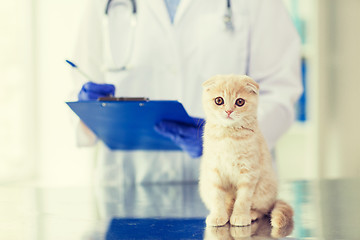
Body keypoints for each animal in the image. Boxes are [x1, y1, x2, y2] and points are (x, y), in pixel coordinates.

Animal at [198, 75, 294, 231]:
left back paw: (251, 213)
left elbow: (242, 199)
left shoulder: (248, 172)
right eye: (219, 100)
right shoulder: (214, 171)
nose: (228, 111)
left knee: (263, 209)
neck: (228, 135)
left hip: (263, 191)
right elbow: (217, 197)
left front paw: (240, 216)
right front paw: (218, 215)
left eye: (240, 102)